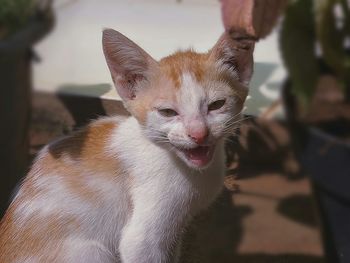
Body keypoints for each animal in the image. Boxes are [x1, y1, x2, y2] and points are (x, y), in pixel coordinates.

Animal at [0, 29, 253, 263]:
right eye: (167, 112)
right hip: (91, 253)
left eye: (217, 104)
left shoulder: (175, 232)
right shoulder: (142, 240)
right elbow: (139, 245)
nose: (199, 134)